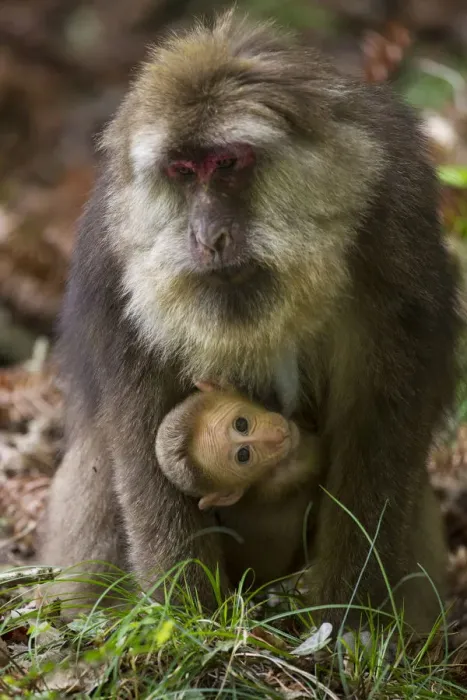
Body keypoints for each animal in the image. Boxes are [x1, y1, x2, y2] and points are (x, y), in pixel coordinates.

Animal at [39, 10, 459, 634]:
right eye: (182, 172)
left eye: (228, 164)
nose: (206, 236)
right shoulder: (113, 265)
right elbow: (140, 442)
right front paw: (188, 627)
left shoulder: (397, 225)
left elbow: (380, 426)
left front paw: (347, 623)